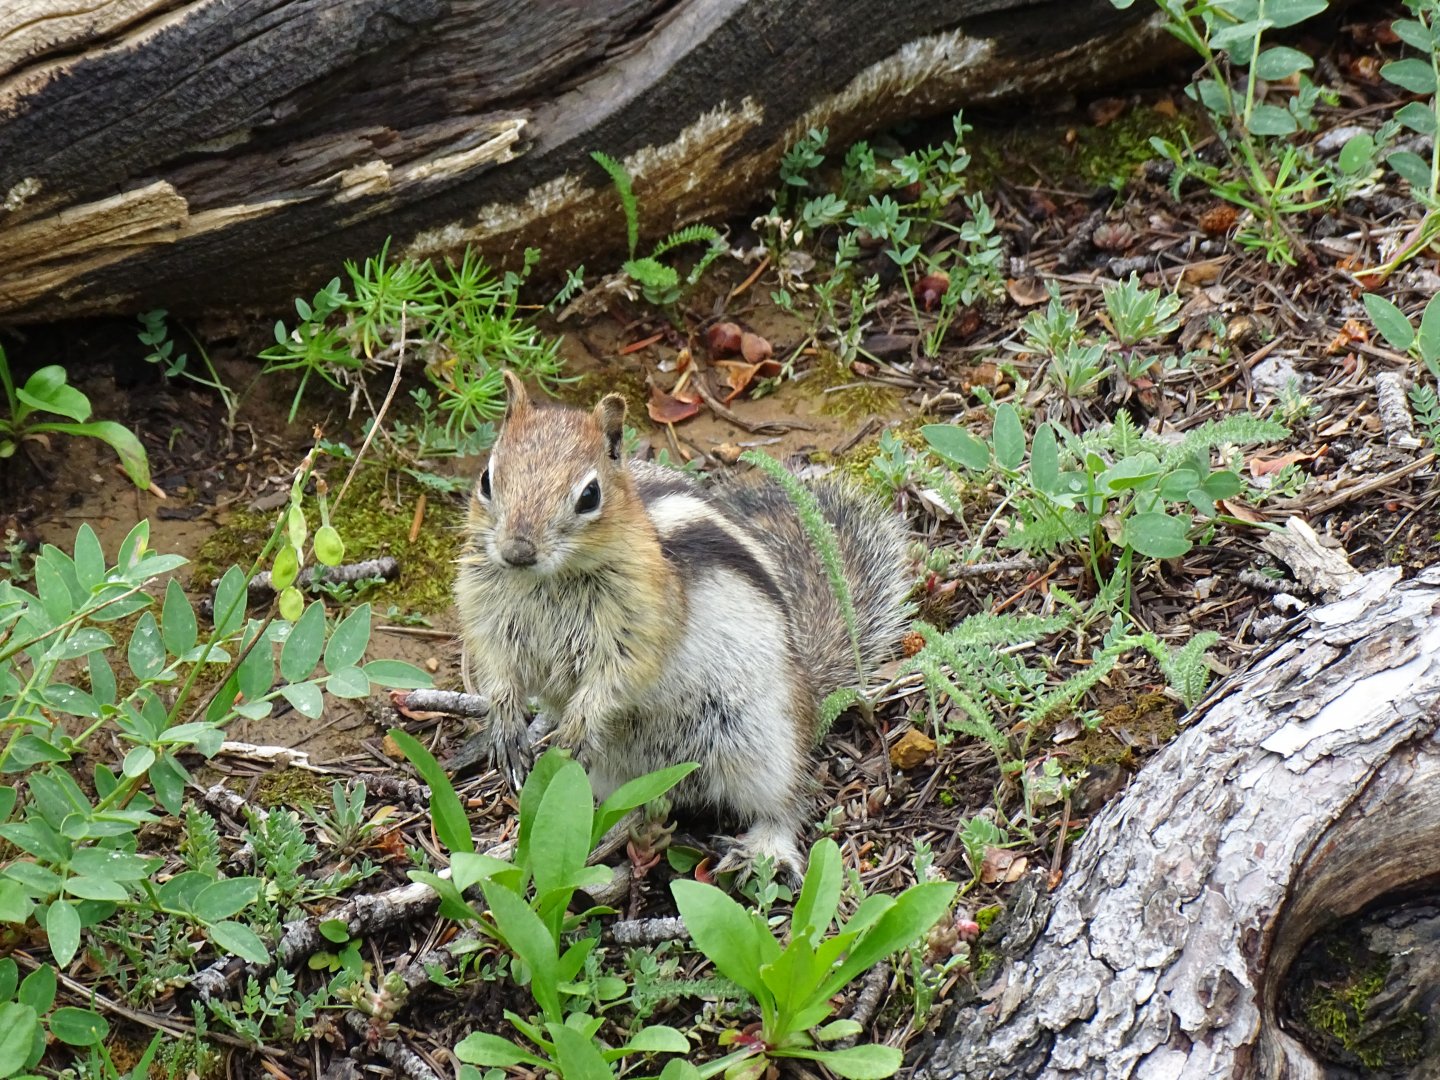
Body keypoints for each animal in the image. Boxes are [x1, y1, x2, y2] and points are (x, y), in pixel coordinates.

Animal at [454, 372, 910, 876]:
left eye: (589, 496)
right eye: (486, 479)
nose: (517, 551)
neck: (547, 581)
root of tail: (810, 684)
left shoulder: (642, 624)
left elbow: (614, 679)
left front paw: (575, 730)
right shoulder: (484, 612)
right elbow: (496, 669)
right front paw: (506, 727)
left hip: (764, 745)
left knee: (788, 802)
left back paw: (764, 848)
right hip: (619, 773)